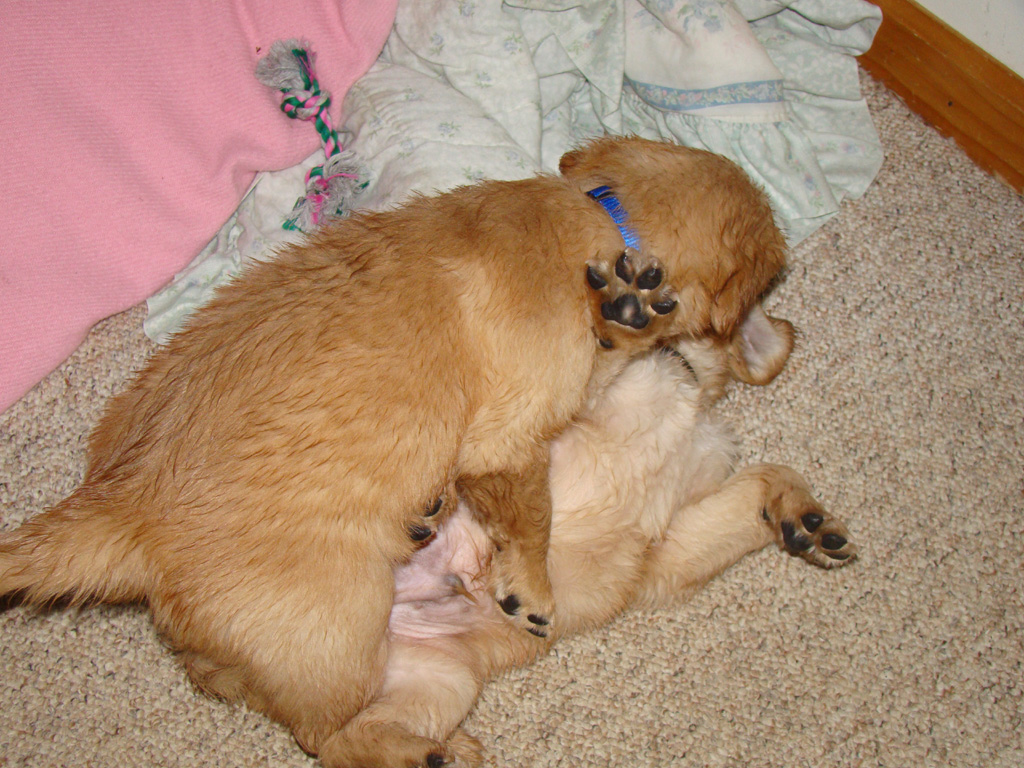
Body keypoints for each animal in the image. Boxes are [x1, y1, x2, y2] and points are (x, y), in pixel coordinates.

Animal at [0, 138, 786, 765]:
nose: (766, 334)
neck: (604, 214)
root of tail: (124, 507)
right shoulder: (509, 435)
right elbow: (531, 516)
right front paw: (531, 588)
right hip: (340, 630)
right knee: (323, 737)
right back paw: (431, 752)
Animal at [337, 303, 856, 768]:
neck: (683, 379)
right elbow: (520, 501)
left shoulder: (668, 547)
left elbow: (764, 480)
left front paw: (806, 522)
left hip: (441, 680)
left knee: (348, 740)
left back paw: (434, 753)